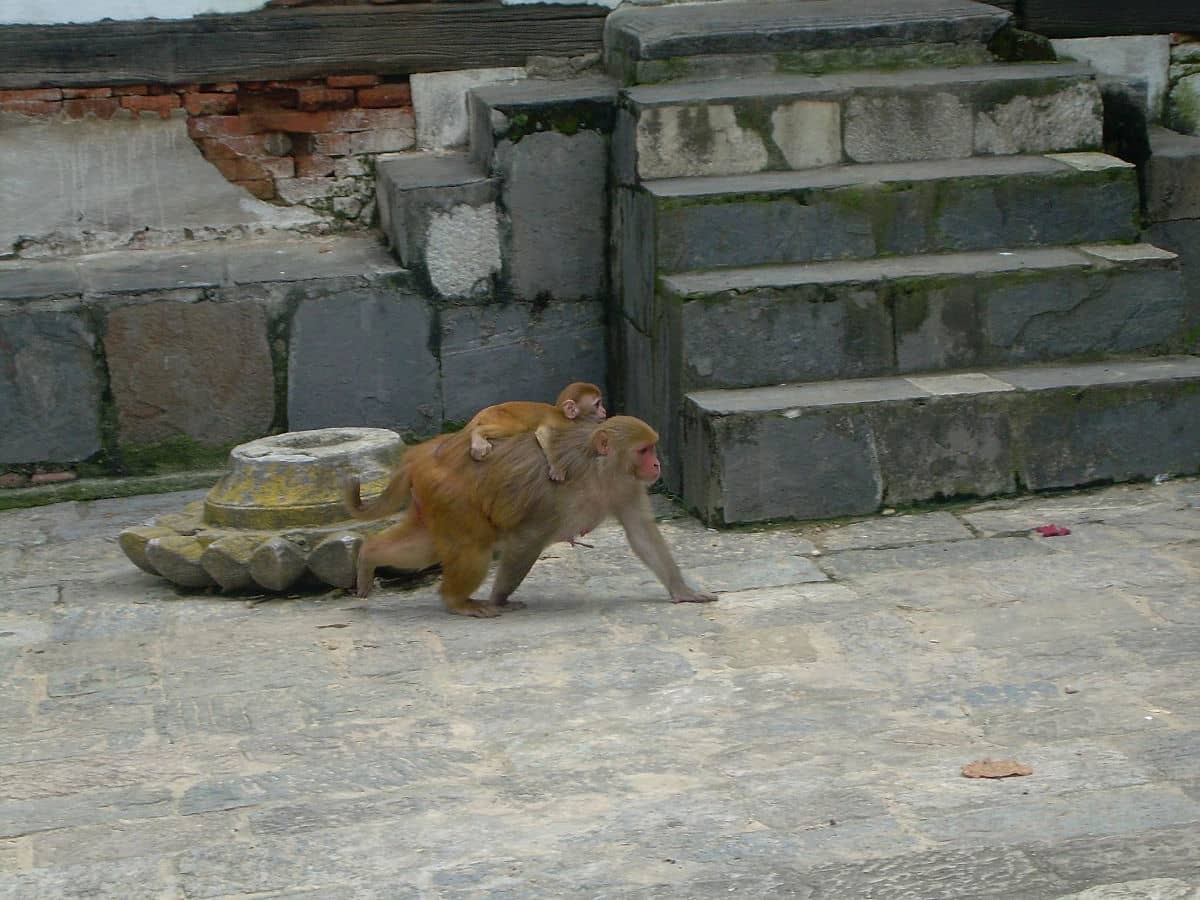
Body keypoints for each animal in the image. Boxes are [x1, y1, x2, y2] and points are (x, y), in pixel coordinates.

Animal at [344, 415, 716, 617]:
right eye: (643, 450)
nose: (656, 465)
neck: (598, 469)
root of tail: (419, 457)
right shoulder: (557, 493)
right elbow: (528, 539)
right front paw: (499, 598)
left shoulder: (626, 486)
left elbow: (641, 533)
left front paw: (681, 590)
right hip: (450, 493)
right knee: (474, 547)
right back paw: (457, 601)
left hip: (433, 499)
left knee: (425, 547)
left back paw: (368, 556)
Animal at [461, 381, 606, 481]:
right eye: (597, 404)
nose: (604, 411)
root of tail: (483, 411)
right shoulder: (565, 424)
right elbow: (543, 432)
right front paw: (557, 467)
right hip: (497, 416)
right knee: (518, 427)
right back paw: (478, 434)